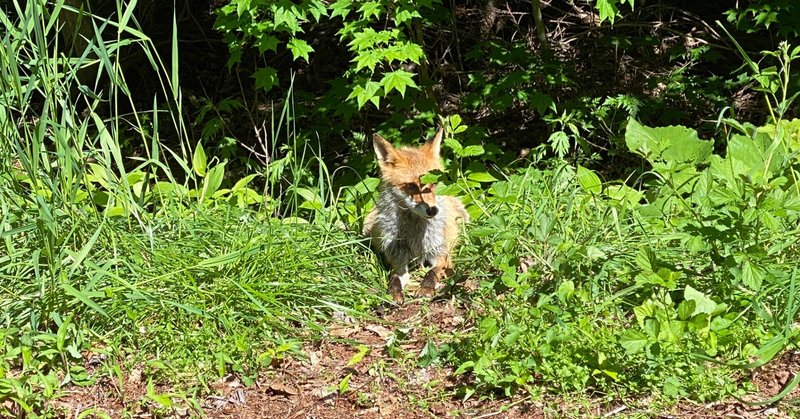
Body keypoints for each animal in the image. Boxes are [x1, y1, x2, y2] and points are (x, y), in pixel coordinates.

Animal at [362, 126, 468, 304]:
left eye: (434, 183)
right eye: (411, 186)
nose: (433, 210)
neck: (415, 234)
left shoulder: (440, 254)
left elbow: (432, 272)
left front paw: (426, 288)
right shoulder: (398, 261)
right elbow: (394, 278)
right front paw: (394, 293)